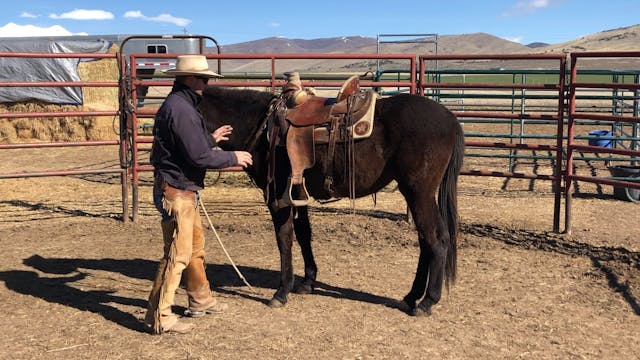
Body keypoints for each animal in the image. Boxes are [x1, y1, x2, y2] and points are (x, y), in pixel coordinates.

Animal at [200, 86, 464, 316]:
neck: (263, 127)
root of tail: (451, 120)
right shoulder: (298, 194)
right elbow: (304, 234)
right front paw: (307, 281)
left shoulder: (278, 199)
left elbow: (284, 238)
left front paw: (282, 291)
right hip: (415, 195)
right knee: (425, 242)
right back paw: (411, 297)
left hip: (419, 194)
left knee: (437, 239)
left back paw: (427, 301)